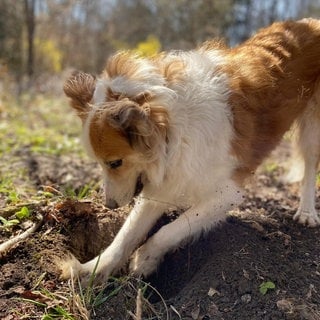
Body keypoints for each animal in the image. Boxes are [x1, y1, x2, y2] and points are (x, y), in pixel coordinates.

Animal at [62, 18, 320, 284]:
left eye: (115, 163)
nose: (110, 205)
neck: (174, 125)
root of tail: (309, 21)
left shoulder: (227, 193)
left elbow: (172, 229)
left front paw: (145, 258)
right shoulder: (168, 178)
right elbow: (127, 233)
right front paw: (93, 269)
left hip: (313, 127)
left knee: (310, 165)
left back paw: (307, 211)